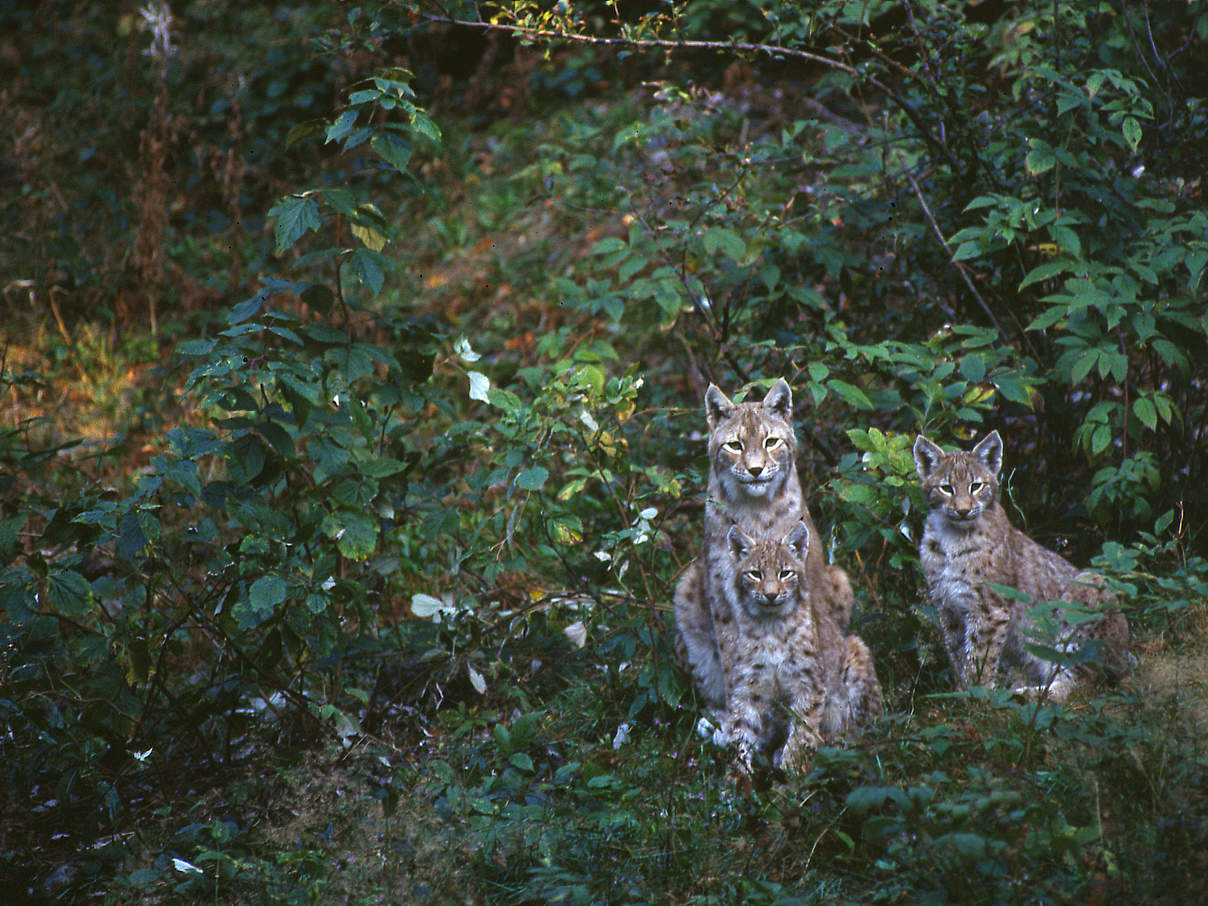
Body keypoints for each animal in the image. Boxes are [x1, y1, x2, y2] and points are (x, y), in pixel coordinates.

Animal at [913, 432, 1130, 700]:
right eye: (946, 488)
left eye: (976, 486)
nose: (963, 511)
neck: (951, 535)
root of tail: (1126, 653)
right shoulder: (946, 605)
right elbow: (957, 654)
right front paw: (960, 693)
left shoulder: (989, 609)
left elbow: (979, 658)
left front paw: (976, 697)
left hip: (1088, 583)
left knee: (1081, 683)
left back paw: (1020, 695)